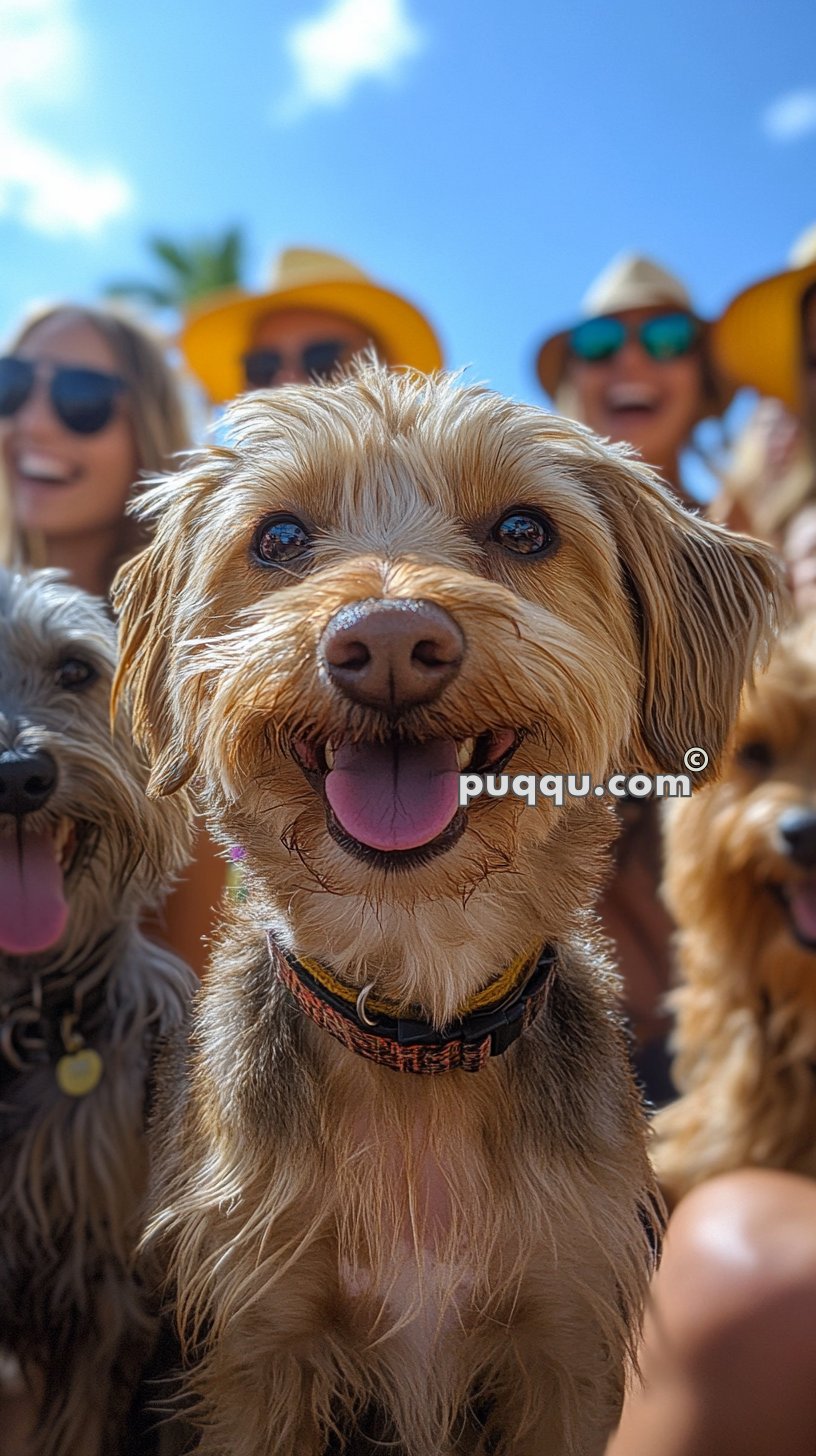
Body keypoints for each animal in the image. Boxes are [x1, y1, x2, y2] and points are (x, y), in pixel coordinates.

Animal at [112, 369, 775, 1450]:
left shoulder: (565, 1334)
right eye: (279, 537)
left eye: (525, 529)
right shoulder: (258, 1344)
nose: (387, 638)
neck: (418, 1011)